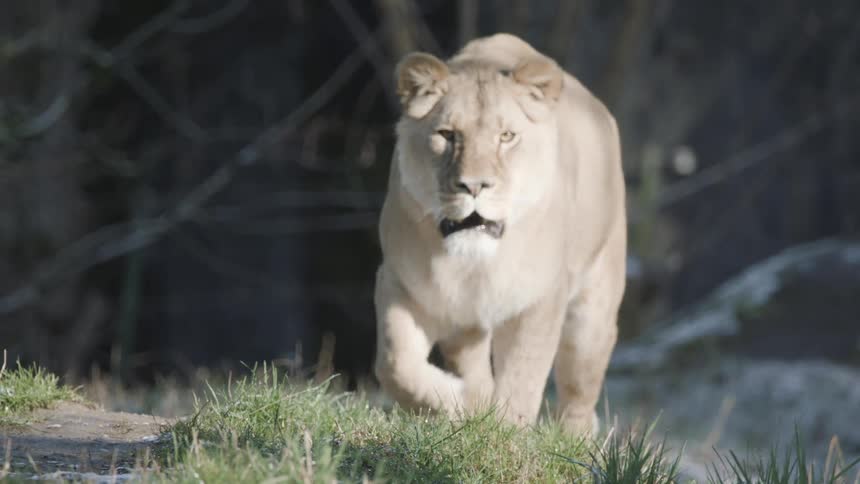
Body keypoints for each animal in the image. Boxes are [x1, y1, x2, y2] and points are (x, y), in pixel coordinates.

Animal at [373, 33, 626, 435]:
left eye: (506, 136)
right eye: (447, 135)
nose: (474, 186)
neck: (475, 265)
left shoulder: (538, 302)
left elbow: (523, 379)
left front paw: (506, 434)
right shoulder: (402, 283)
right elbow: (396, 364)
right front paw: (457, 401)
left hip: (593, 312)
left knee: (580, 391)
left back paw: (575, 438)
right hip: (465, 323)